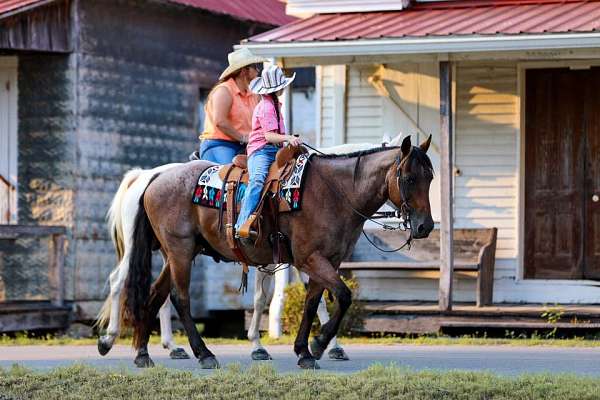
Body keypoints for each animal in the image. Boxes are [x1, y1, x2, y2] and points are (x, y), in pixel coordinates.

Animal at [119, 135, 434, 368]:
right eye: (408, 178)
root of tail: (156, 177)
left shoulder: (327, 261)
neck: (334, 191)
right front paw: (319, 344)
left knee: (156, 294)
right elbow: (343, 296)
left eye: (430, 177)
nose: (425, 226)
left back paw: (143, 354)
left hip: (177, 254)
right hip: (180, 251)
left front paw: (305, 351)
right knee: (178, 298)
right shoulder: (310, 259)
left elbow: (312, 303)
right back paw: (203, 354)